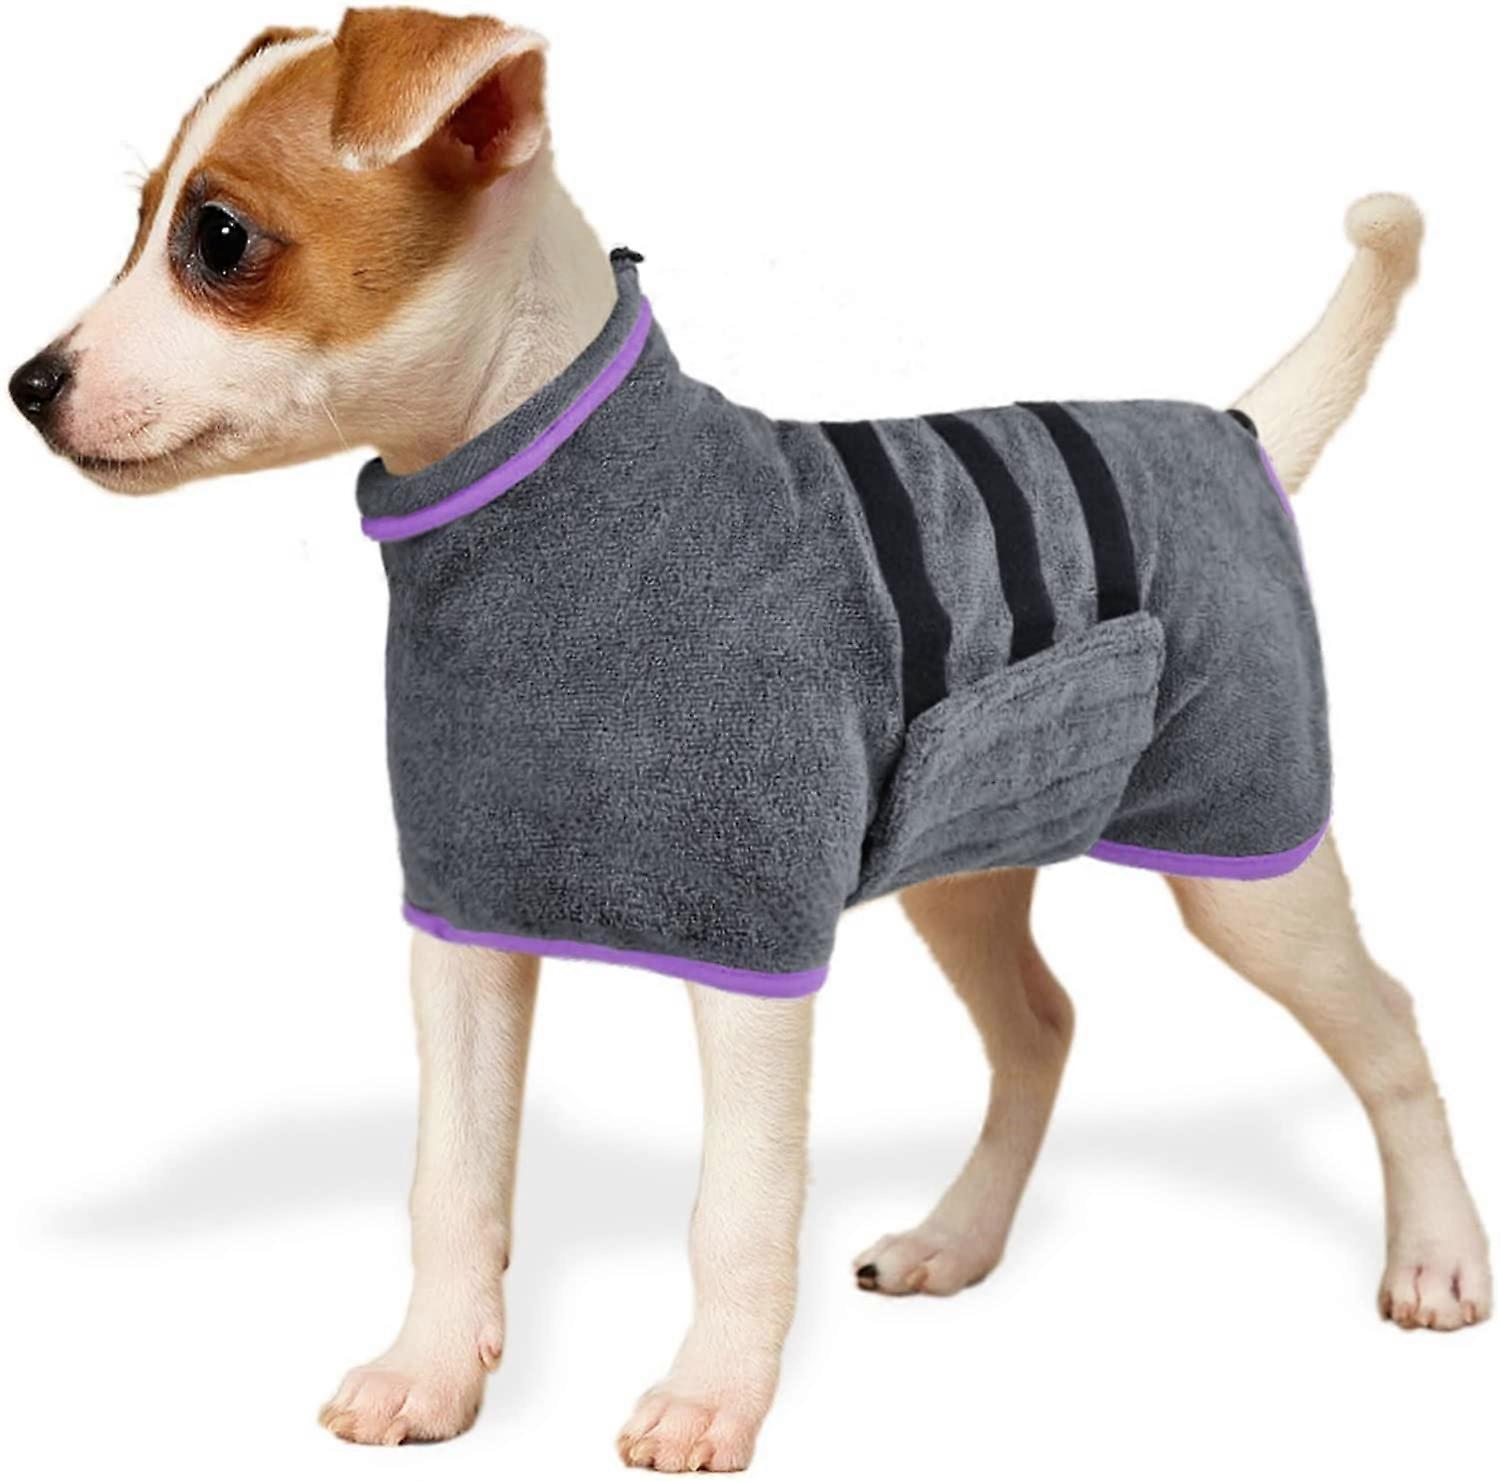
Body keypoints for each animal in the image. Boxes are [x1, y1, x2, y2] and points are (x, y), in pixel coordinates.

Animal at [10, 9, 1491, 1472]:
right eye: (139, 221)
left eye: (217, 237)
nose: (30, 384)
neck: (552, 520)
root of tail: (1239, 432)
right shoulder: (465, 928)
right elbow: (451, 1175)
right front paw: (429, 1371)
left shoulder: (752, 945)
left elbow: (740, 1203)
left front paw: (709, 1398)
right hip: (967, 859)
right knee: (1042, 1028)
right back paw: (954, 1240)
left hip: (1250, 854)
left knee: (1389, 1023)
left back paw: (1437, 1256)